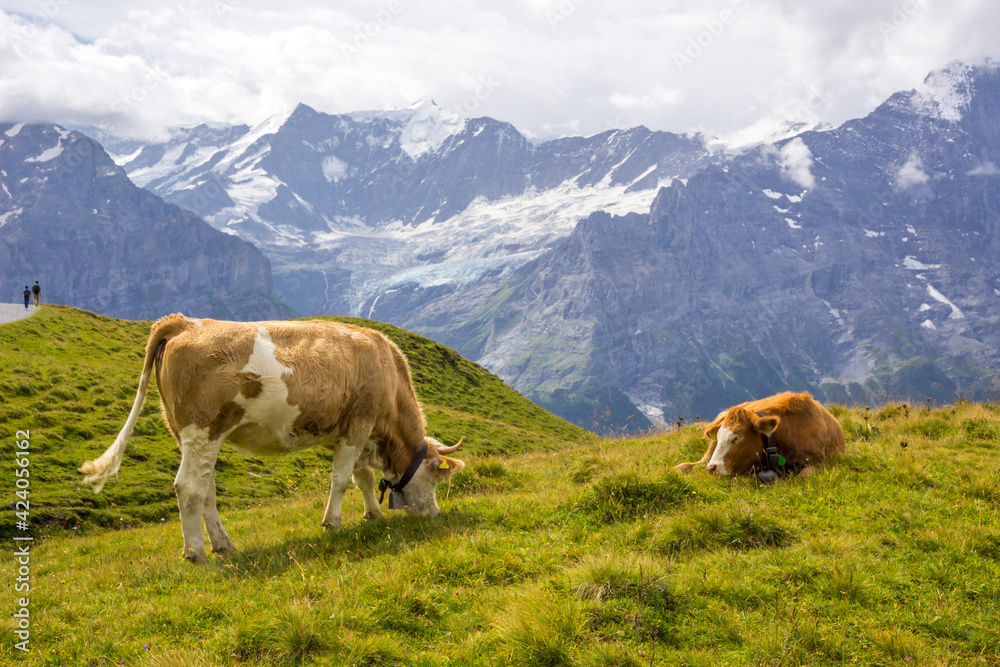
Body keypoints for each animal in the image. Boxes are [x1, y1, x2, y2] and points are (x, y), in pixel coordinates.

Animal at [81, 314, 464, 564]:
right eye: (435, 476)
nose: (434, 513)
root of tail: (185, 322)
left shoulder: (348, 433)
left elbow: (363, 478)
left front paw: (373, 514)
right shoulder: (359, 423)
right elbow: (341, 480)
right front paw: (333, 523)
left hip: (190, 436)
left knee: (205, 489)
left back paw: (224, 545)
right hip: (202, 429)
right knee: (188, 488)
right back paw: (196, 552)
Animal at [672, 392, 844, 480]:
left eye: (737, 438)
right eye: (720, 437)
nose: (712, 468)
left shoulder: (821, 462)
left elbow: (805, 475)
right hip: (708, 455)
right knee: (695, 464)